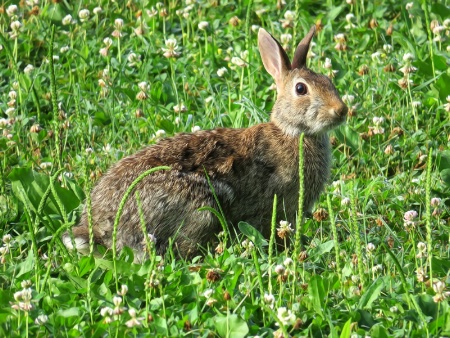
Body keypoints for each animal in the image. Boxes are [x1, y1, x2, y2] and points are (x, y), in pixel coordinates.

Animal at [61, 25, 346, 258]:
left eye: (328, 80)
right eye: (301, 89)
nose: (341, 111)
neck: (292, 133)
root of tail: (100, 227)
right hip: (201, 210)